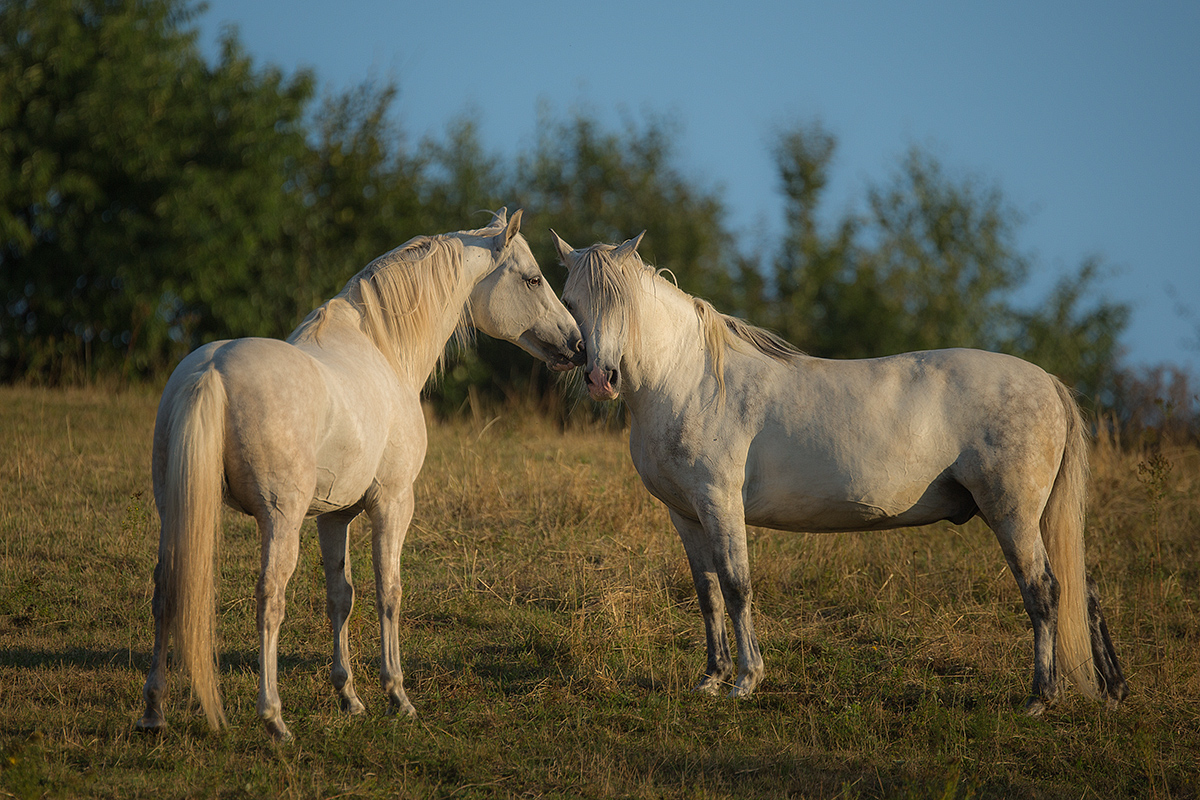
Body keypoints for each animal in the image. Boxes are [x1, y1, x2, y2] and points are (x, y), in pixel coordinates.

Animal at [139, 211, 580, 738]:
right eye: (532, 278)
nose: (576, 343)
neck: (383, 352)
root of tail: (211, 371)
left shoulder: (335, 515)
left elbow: (341, 596)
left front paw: (348, 696)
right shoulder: (393, 503)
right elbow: (389, 591)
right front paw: (398, 696)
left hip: (175, 510)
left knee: (165, 590)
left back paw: (154, 711)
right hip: (280, 521)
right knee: (270, 599)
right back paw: (274, 718)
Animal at [552, 230, 1123, 714]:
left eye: (622, 303)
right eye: (572, 302)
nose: (601, 378)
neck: (691, 381)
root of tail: (1046, 382)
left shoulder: (720, 503)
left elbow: (736, 585)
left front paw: (745, 681)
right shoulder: (686, 515)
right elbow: (708, 592)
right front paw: (711, 679)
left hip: (1013, 515)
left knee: (1044, 591)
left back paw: (1040, 698)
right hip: (1038, 517)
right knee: (1082, 588)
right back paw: (1112, 688)